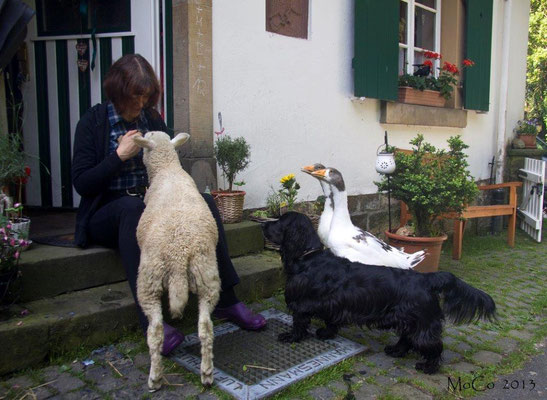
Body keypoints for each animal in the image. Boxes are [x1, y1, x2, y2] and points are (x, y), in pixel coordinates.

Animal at [133, 130, 220, 390]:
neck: (167, 168)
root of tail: (178, 256)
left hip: (148, 281)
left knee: (155, 332)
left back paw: (155, 378)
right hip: (206, 276)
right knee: (205, 328)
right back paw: (207, 373)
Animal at [264, 212, 498, 376]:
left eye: (279, 221)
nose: (262, 225)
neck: (308, 257)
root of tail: (426, 279)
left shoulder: (301, 304)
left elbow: (298, 323)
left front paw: (291, 337)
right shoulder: (333, 304)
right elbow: (331, 320)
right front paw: (326, 333)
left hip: (422, 323)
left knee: (433, 345)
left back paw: (428, 367)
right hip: (408, 319)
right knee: (407, 338)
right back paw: (396, 350)